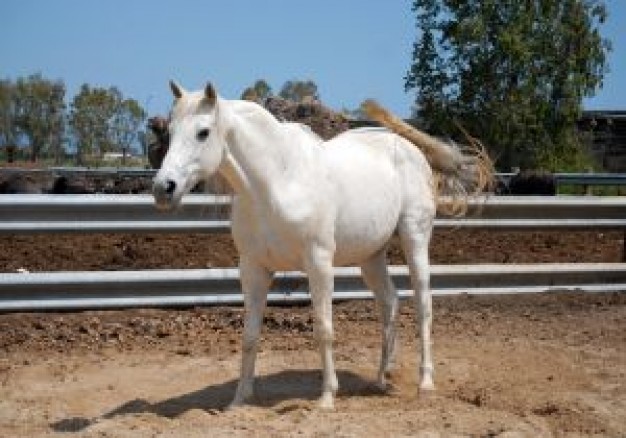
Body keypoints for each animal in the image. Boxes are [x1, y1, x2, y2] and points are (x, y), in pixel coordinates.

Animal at [152, 80, 492, 408]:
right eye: (170, 132)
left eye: (203, 132)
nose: (163, 188)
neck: (278, 181)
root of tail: (409, 148)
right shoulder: (253, 269)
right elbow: (249, 335)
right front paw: (239, 399)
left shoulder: (319, 265)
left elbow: (324, 330)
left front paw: (327, 397)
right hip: (371, 257)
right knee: (390, 303)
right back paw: (381, 379)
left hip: (415, 239)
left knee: (423, 305)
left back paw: (425, 383)